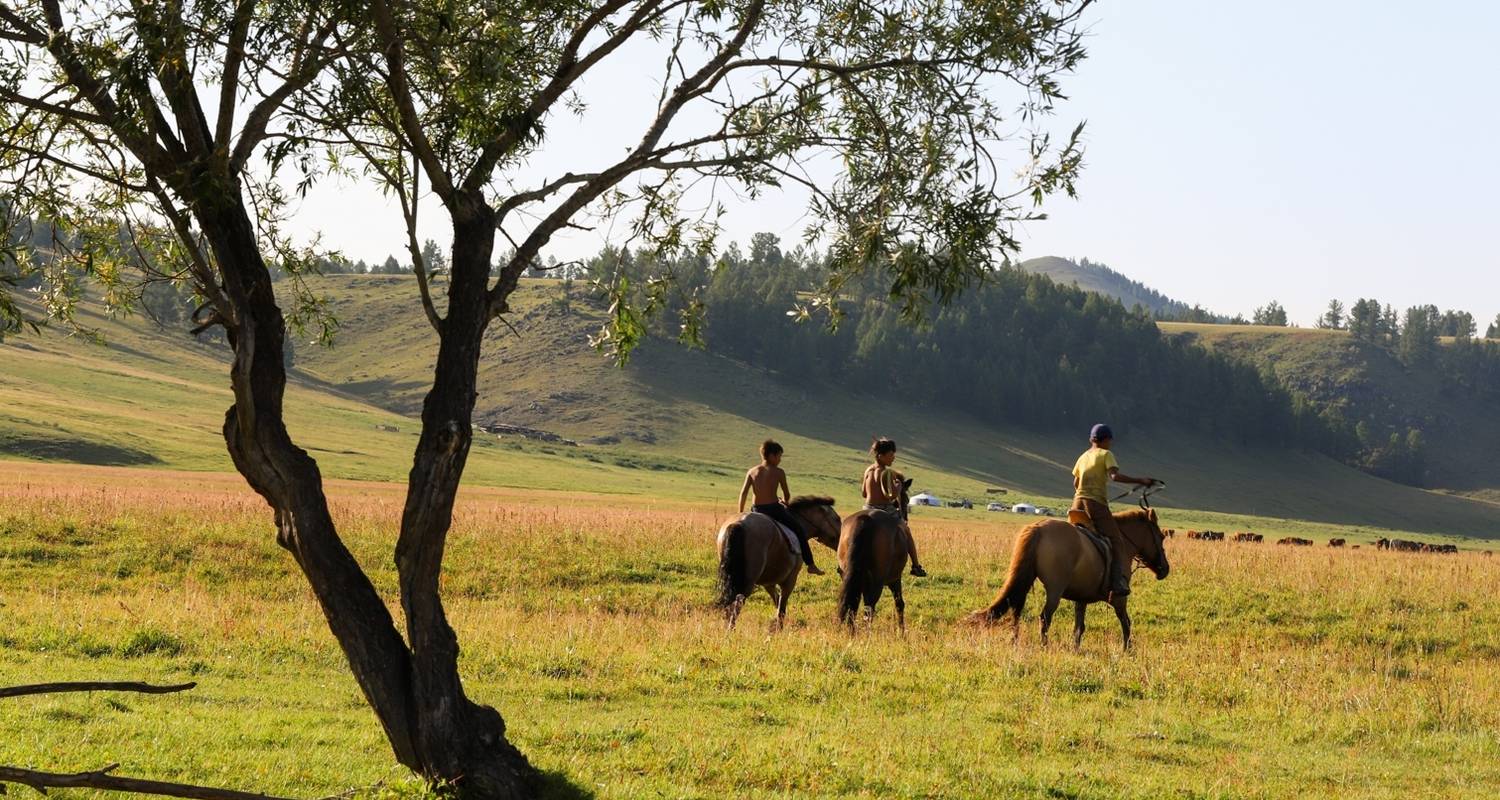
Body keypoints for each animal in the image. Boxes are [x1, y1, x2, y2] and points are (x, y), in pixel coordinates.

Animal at [714, 492, 846, 630]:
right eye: (837, 519)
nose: (842, 539)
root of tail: (739, 523)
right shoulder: (789, 580)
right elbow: (782, 607)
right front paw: (779, 628)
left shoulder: (768, 583)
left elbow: (777, 603)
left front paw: (774, 625)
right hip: (747, 581)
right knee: (737, 603)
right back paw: (730, 629)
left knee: (730, 604)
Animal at [834, 477, 912, 633]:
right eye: (906, 499)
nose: (906, 519)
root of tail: (866, 519)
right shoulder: (895, 579)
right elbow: (899, 603)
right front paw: (901, 632)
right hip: (877, 581)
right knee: (869, 608)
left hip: (851, 575)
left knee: (853, 604)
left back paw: (851, 631)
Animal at [972, 504, 1170, 648]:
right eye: (1161, 536)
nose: (1165, 569)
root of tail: (1038, 528)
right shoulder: (1120, 599)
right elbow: (1126, 622)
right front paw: (1128, 650)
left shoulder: (1081, 598)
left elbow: (1079, 626)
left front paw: (1076, 648)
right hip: (1055, 590)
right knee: (1044, 617)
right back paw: (1044, 646)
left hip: (1025, 580)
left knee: (1016, 610)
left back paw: (1015, 641)